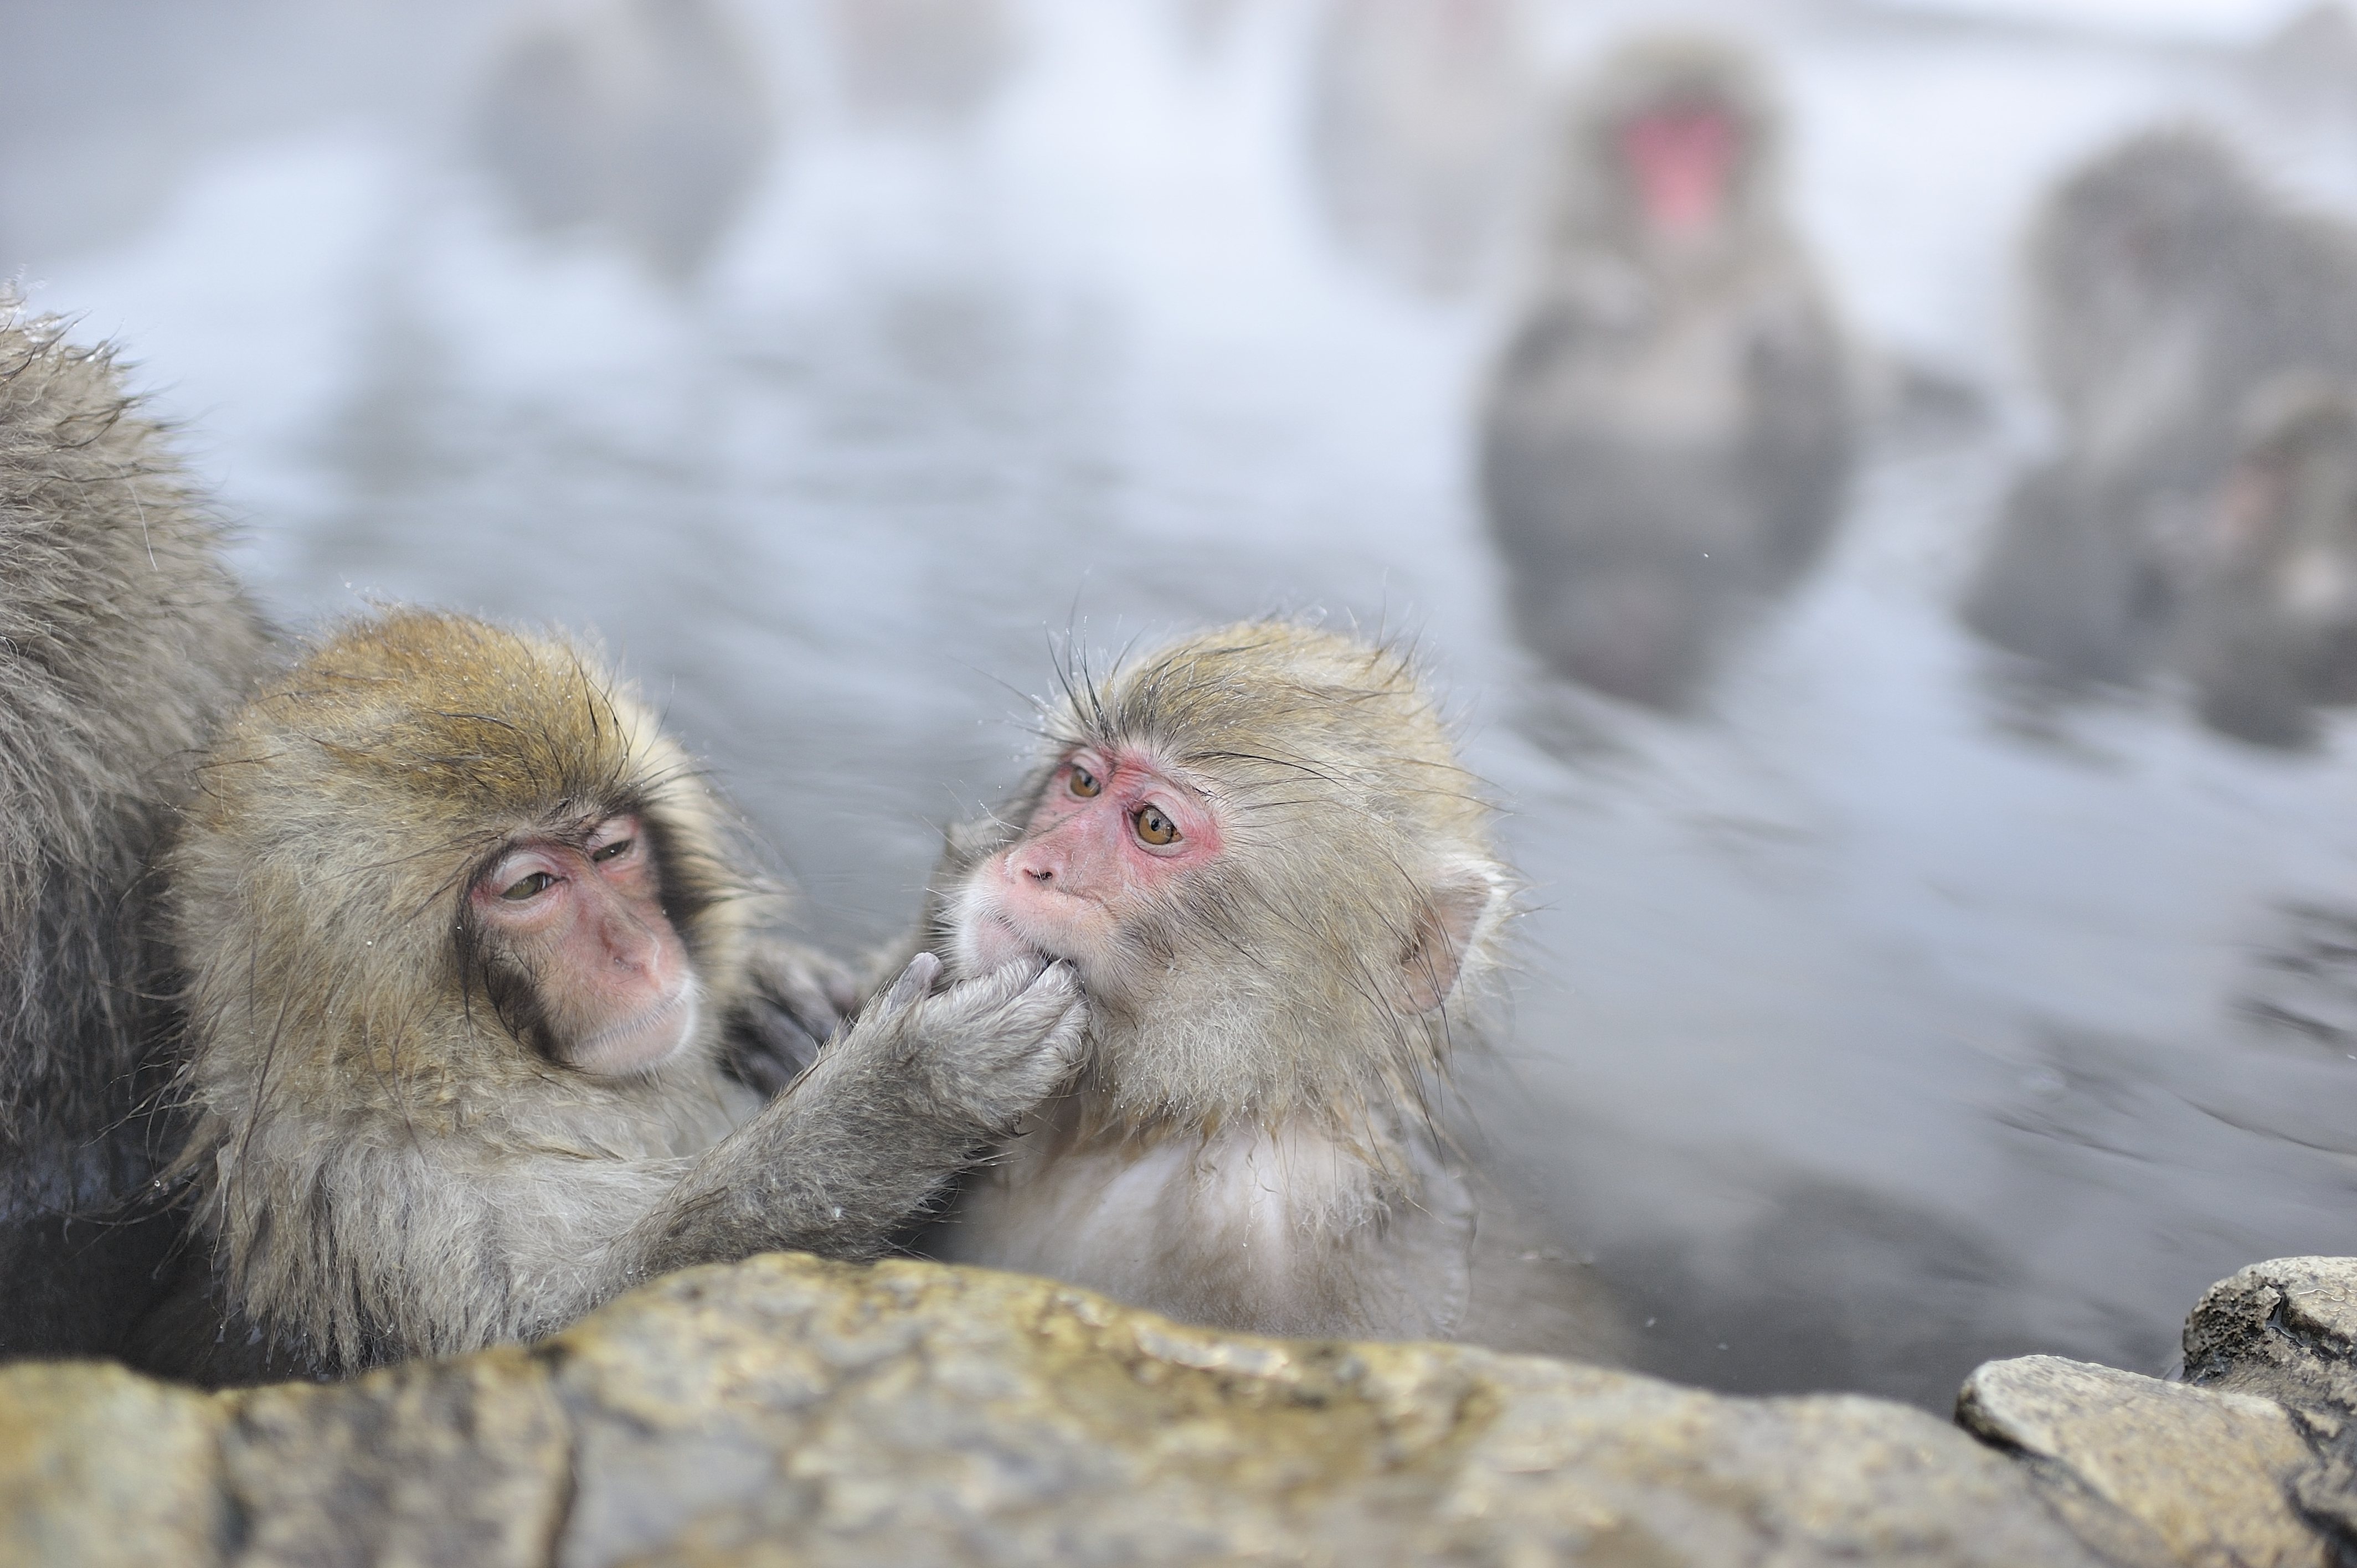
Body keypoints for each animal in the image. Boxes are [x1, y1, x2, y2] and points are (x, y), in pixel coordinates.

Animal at [129, 613, 1084, 1386]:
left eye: (614, 849)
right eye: (531, 886)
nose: (639, 950)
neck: (443, 1082)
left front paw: (781, 1001)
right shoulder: (382, 1204)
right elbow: (562, 1335)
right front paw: (905, 1091)